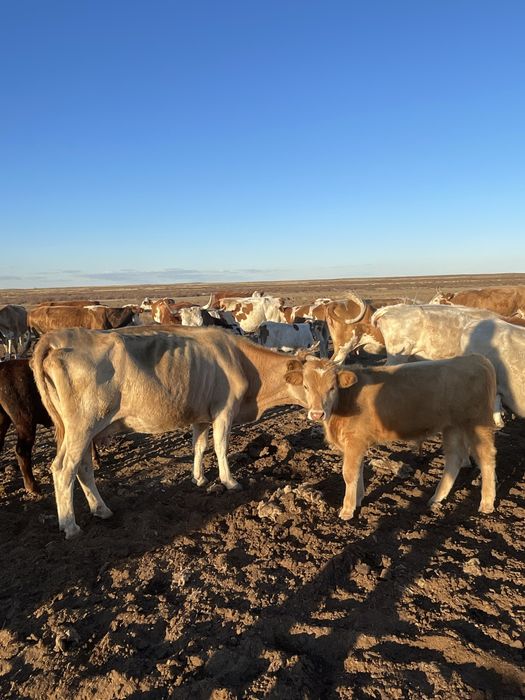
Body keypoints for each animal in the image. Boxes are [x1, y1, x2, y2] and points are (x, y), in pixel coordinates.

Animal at [30, 326, 307, 538]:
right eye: (307, 383)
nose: (317, 414)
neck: (241, 360)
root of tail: (57, 338)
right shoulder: (224, 411)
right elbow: (221, 447)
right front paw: (229, 481)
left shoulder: (201, 416)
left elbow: (199, 445)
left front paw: (199, 478)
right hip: (82, 427)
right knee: (64, 468)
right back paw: (70, 525)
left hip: (82, 431)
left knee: (84, 467)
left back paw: (101, 509)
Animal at [284, 355, 497, 520]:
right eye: (306, 386)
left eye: (332, 387)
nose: (317, 414)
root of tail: (475, 359)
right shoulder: (357, 444)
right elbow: (359, 470)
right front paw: (359, 500)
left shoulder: (354, 441)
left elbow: (349, 473)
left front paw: (347, 510)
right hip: (452, 426)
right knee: (454, 458)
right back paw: (437, 498)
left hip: (477, 422)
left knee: (487, 458)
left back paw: (487, 503)